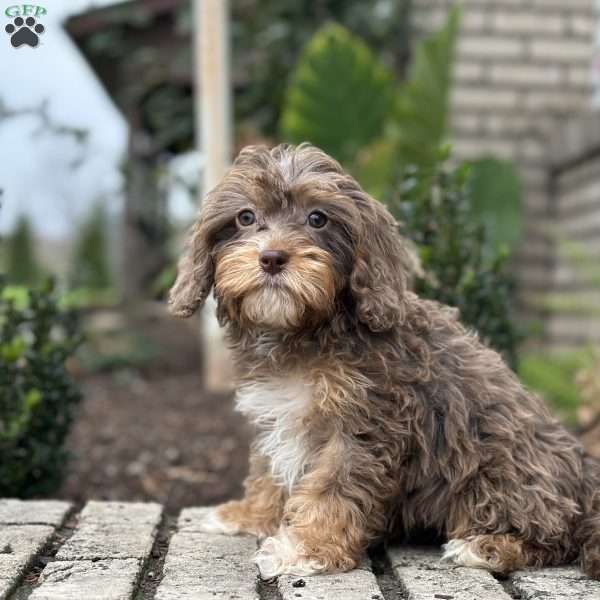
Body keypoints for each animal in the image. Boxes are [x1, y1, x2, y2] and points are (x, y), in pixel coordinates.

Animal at [169, 143, 600, 580]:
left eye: (317, 218)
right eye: (245, 217)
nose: (272, 258)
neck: (307, 330)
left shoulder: (364, 424)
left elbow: (332, 486)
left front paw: (307, 547)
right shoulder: (275, 413)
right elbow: (269, 468)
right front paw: (251, 514)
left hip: (498, 464)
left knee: (553, 533)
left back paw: (489, 546)